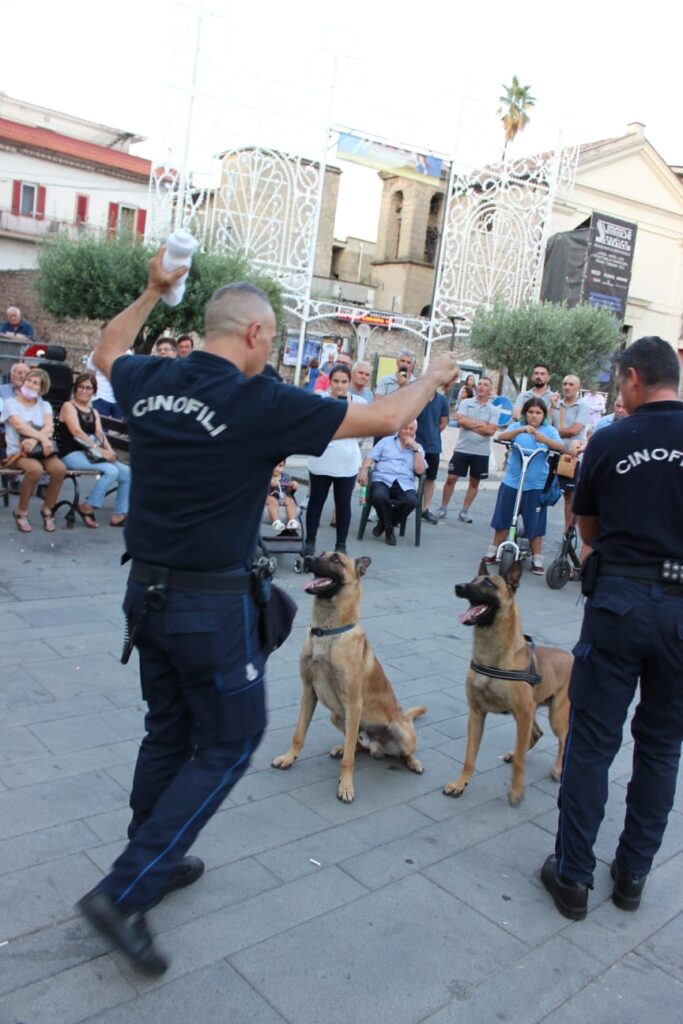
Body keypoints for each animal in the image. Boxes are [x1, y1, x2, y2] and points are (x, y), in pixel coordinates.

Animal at [272, 552, 428, 798]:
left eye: (336, 559)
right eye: (321, 554)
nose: (307, 558)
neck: (327, 632)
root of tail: (377, 746)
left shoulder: (354, 703)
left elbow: (349, 760)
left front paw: (346, 786)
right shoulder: (308, 690)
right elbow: (298, 733)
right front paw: (289, 758)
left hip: (400, 732)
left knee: (400, 752)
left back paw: (414, 762)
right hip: (337, 716)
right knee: (356, 745)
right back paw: (343, 748)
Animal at [444, 561, 573, 806]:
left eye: (488, 583)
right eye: (472, 579)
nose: (458, 587)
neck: (491, 655)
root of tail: (574, 656)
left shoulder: (524, 711)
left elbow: (522, 762)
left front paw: (517, 790)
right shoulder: (477, 713)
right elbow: (469, 757)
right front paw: (460, 784)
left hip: (556, 714)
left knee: (563, 739)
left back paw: (559, 769)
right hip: (529, 711)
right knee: (535, 734)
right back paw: (514, 754)